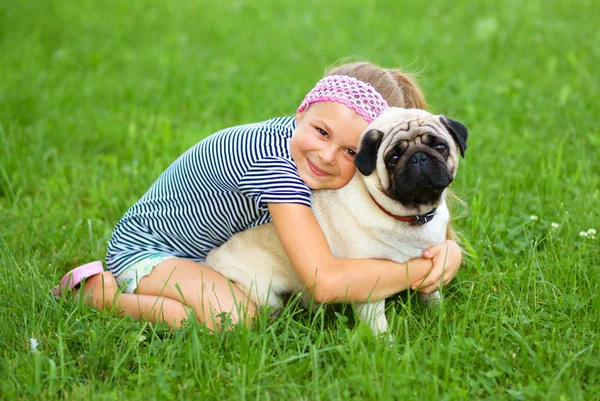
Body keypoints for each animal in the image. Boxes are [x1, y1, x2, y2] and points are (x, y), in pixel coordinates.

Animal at [206, 106, 468, 334]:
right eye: (393, 157)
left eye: (441, 146)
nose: (419, 157)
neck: (408, 216)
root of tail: (212, 259)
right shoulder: (369, 286)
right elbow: (378, 325)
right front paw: (387, 346)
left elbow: (432, 294)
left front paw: (437, 315)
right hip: (263, 293)